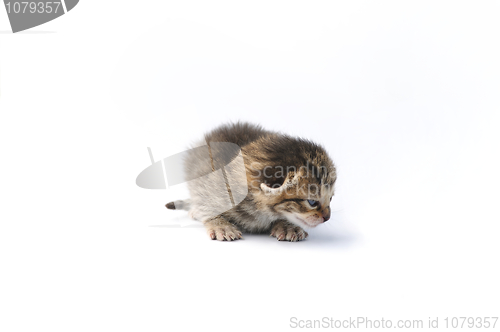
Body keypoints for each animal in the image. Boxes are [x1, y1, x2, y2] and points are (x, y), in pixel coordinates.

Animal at [165, 122, 336, 241]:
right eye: (312, 202)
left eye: (331, 198)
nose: (327, 217)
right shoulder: (209, 184)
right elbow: (206, 203)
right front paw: (221, 226)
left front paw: (288, 226)